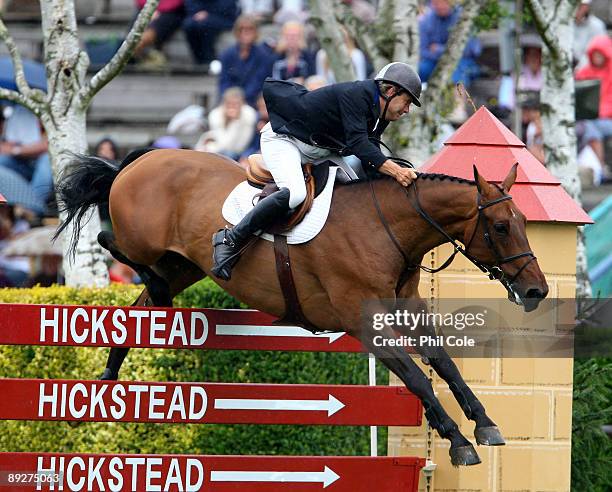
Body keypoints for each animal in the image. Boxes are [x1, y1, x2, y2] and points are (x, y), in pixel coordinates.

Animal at [55, 149, 548, 466]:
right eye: (500, 227)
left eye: (525, 222)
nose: (536, 292)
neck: (387, 229)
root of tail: (134, 162)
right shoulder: (364, 322)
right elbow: (415, 377)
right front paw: (457, 439)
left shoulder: (407, 309)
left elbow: (444, 364)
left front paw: (483, 423)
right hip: (145, 241)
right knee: (111, 242)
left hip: (184, 265)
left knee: (139, 307)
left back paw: (105, 383)